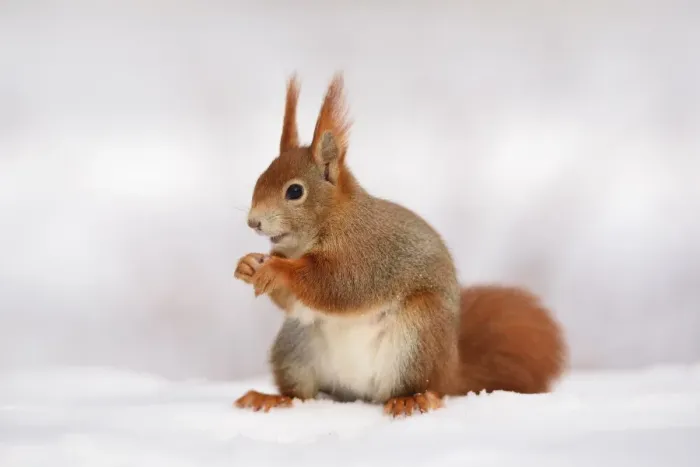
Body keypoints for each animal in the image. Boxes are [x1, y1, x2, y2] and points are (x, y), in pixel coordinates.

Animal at [232, 73, 567, 417]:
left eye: (295, 191)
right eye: (260, 178)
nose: (253, 222)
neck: (328, 225)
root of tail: (451, 369)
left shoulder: (367, 254)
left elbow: (337, 285)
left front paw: (275, 269)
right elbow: (293, 301)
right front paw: (248, 265)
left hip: (417, 336)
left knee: (422, 387)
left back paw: (412, 399)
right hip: (295, 344)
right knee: (303, 392)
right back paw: (274, 398)